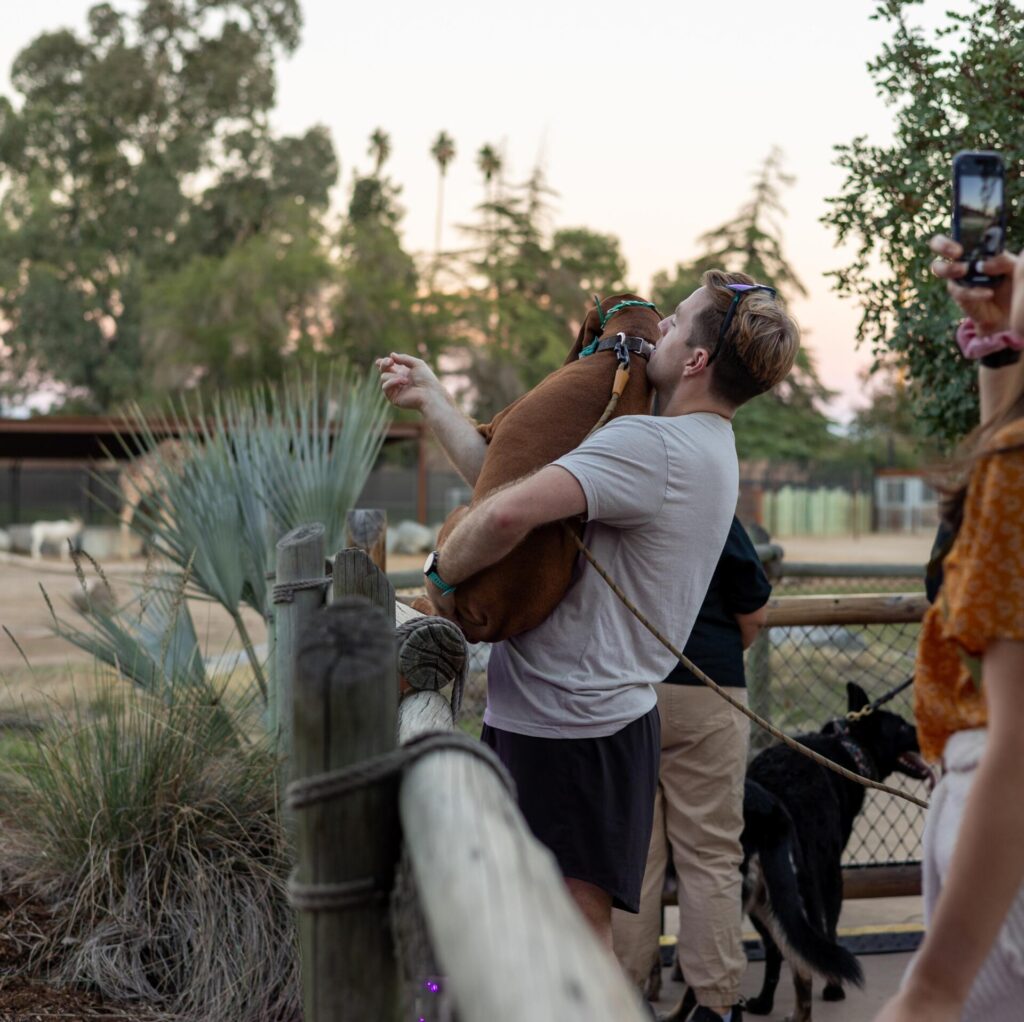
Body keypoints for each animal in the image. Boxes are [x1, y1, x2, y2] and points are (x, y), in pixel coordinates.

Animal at [739, 681, 932, 1022]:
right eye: (902, 726)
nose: (924, 731)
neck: (846, 747)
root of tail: (769, 798)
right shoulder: (831, 874)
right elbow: (831, 928)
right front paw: (834, 986)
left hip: (763, 893)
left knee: (778, 946)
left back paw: (764, 1003)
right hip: (806, 882)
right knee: (810, 938)